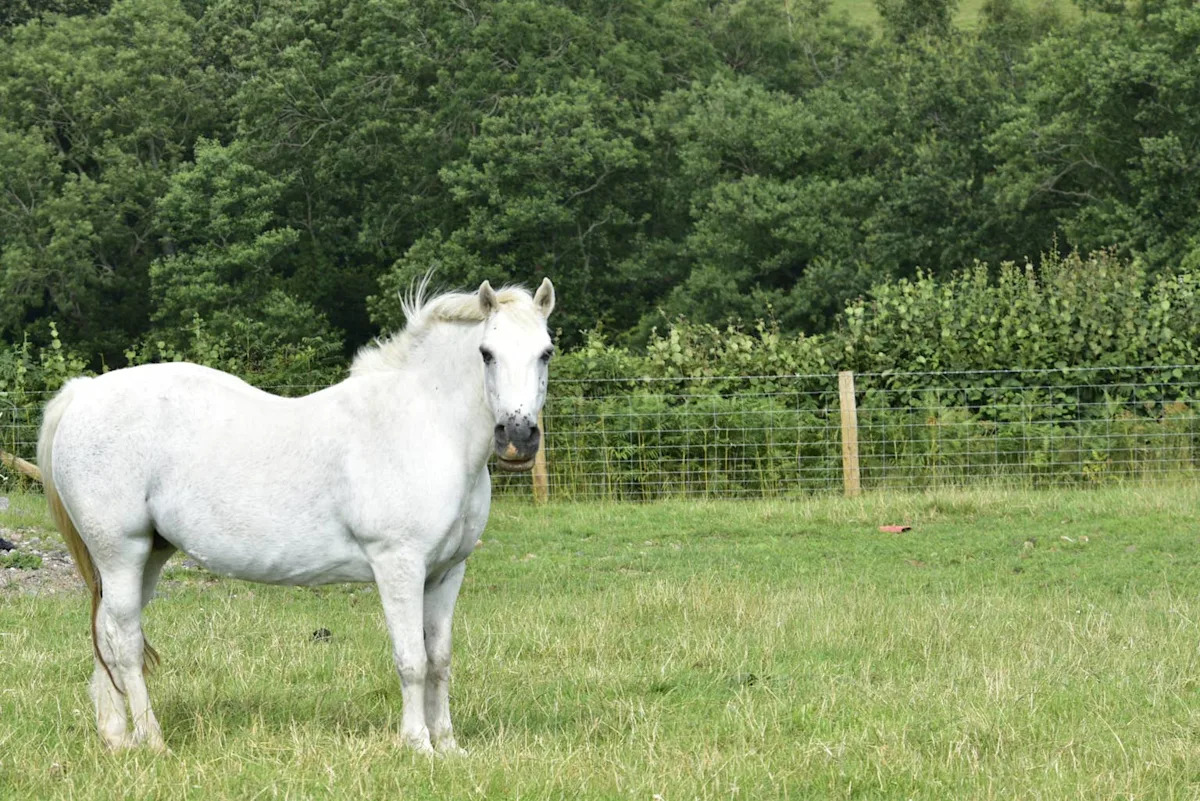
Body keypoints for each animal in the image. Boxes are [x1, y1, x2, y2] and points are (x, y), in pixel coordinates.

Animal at [37, 278, 556, 754]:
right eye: (486, 353)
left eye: (546, 353)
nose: (517, 437)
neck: (424, 426)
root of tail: (83, 394)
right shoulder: (399, 565)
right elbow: (412, 659)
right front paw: (417, 745)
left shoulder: (447, 572)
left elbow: (440, 659)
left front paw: (447, 746)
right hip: (120, 553)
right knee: (124, 642)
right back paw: (153, 739)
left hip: (147, 556)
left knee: (107, 636)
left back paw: (117, 737)